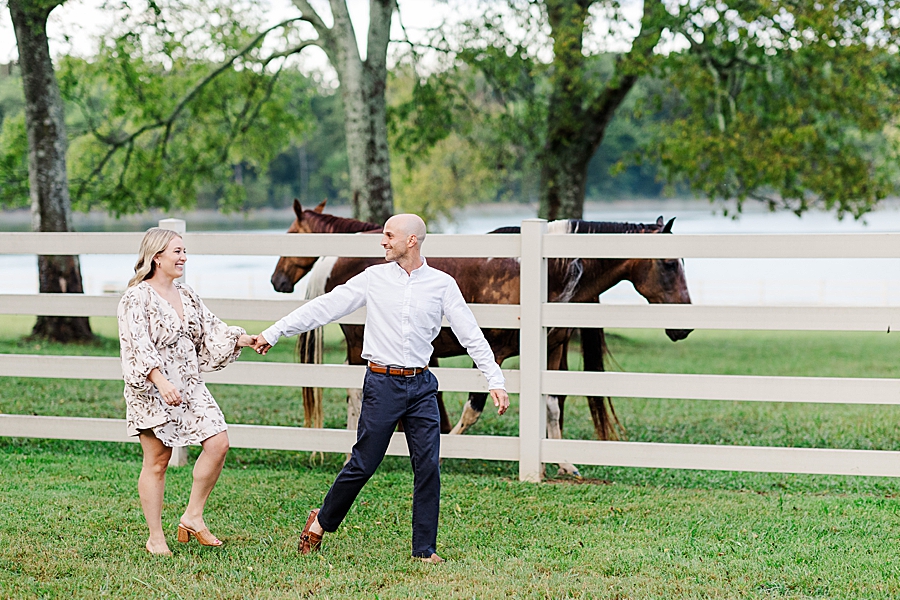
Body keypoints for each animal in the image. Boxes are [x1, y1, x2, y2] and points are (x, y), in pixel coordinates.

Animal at [270, 199, 692, 476]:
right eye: (669, 263)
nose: (683, 327)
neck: (548, 272)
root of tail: (335, 259)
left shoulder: (551, 349)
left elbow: (552, 405)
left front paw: (564, 463)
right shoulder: (495, 351)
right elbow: (473, 409)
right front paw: (448, 450)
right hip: (360, 344)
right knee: (356, 392)